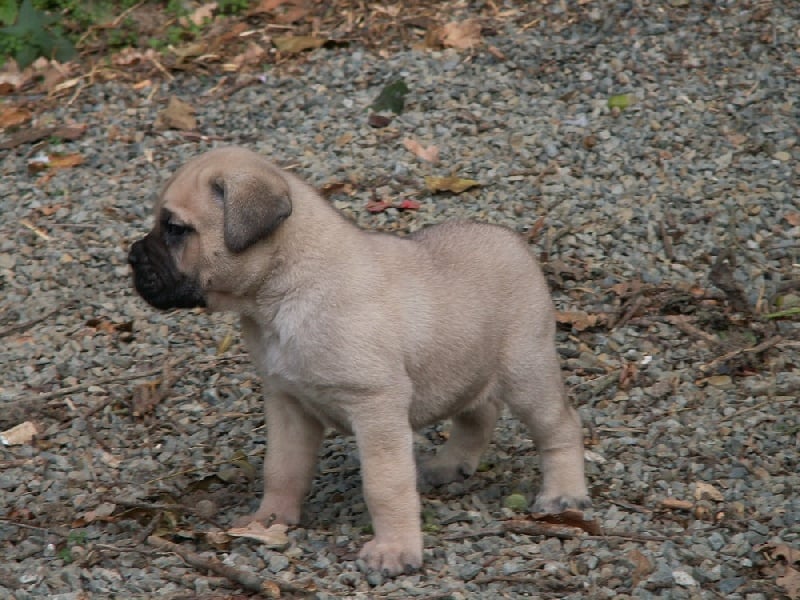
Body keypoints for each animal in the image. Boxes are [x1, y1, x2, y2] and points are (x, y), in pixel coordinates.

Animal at [128, 148, 592, 576]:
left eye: (175, 229)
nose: (132, 255)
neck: (282, 291)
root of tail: (513, 241)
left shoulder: (375, 407)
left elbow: (385, 485)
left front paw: (395, 550)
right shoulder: (287, 402)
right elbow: (282, 467)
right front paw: (270, 520)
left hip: (526, 372)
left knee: (560, 426)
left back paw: (563, 493)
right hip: (466, 365)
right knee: (479, 414)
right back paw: (449, 463)